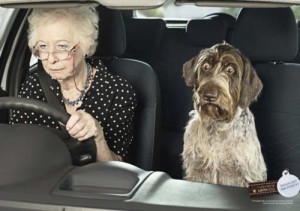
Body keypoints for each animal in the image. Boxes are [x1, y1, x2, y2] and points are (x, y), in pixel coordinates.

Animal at [180, 42, 268, 188]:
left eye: (230, 70)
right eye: (205, 66)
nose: (209, 95)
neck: (217, 125)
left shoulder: (245, 175)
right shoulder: (197, 169)